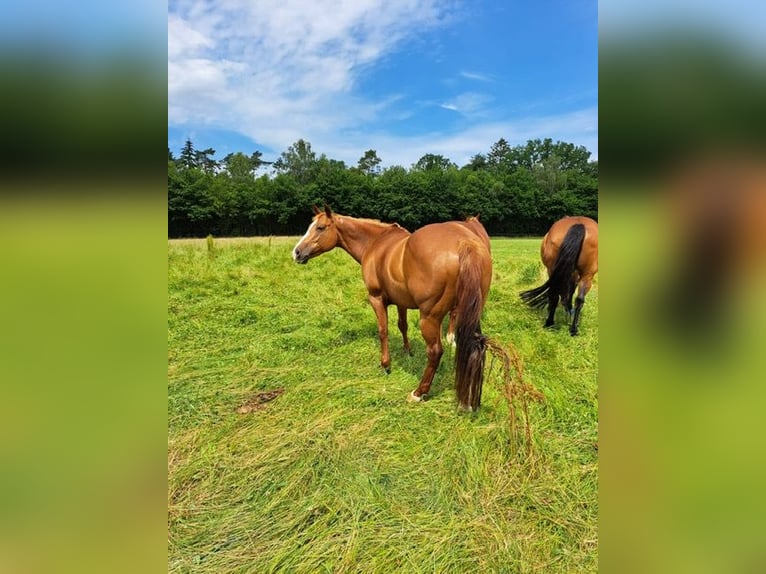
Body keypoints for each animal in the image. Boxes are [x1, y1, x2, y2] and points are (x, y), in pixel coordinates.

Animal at [293, 206, 492, 411]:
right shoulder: (401, 302)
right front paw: (407, 351)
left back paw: (419, 393)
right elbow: (402, 325)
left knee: (435, 352)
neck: (375, 243)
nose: (297, 252)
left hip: (429, 318)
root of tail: (464, 243)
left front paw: (386, 365)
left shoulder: (376, 298)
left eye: (320, 228)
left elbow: (383, 330)